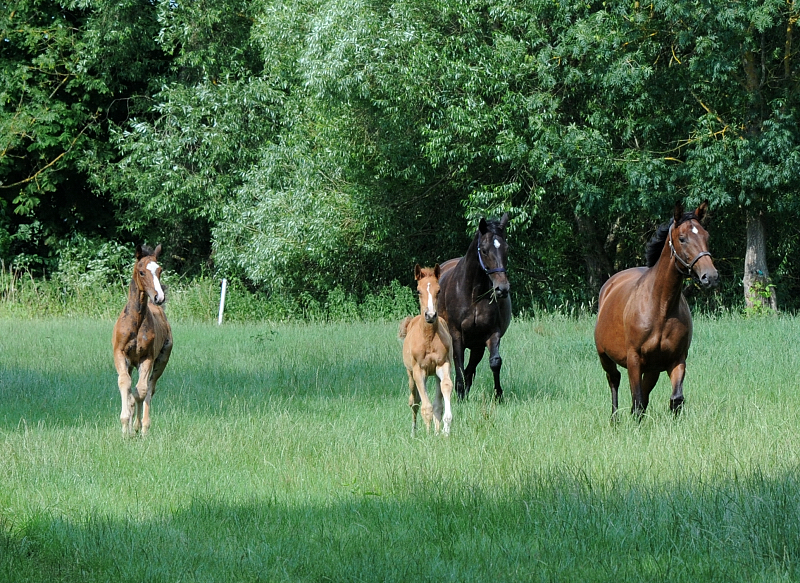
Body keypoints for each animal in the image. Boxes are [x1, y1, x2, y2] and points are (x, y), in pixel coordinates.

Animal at [111, 244, 173, 436]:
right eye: (142, 272)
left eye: (160, 270)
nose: (159, 297)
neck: (136, 322)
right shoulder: (120, 354)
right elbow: (125, 384)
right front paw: (126, 428)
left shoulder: (147, 358)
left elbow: (141, 391)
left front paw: (137, 426)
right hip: (132, 364)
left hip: (162, 360)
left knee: (150, 387)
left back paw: (144, 426)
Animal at [396, 266, 454, 436]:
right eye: (418, 291)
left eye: (439, 290)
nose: (430, 315)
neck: (428, 337)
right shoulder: (418, 371)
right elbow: (425, 406)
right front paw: (427, 436)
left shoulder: (443, 365)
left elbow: (445, 389)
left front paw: (444, 431)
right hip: (411, 375)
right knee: (414, 401)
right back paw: (414, 432)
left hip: (433, 374)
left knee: (436, 403)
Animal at [434, 213, 510, 402]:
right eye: (484, 250)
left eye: (506, 248)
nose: (502, 288)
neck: (473, 294)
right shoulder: (456, 334)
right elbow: (459, 363)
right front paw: (460, 394)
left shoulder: (491, 333)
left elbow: (495, 362)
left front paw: (498, 395)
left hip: (477, 345)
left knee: (471, 368)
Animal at [592, 203, 720, 418]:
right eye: (682, 238)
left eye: (707, 236)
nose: (710, 276)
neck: (661, 308)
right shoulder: (634, 360)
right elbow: (636, 401)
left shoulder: (676, 359)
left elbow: (675, 399)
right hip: (605, 357)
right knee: (614, 381)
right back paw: (614, 420)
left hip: (652, 369)